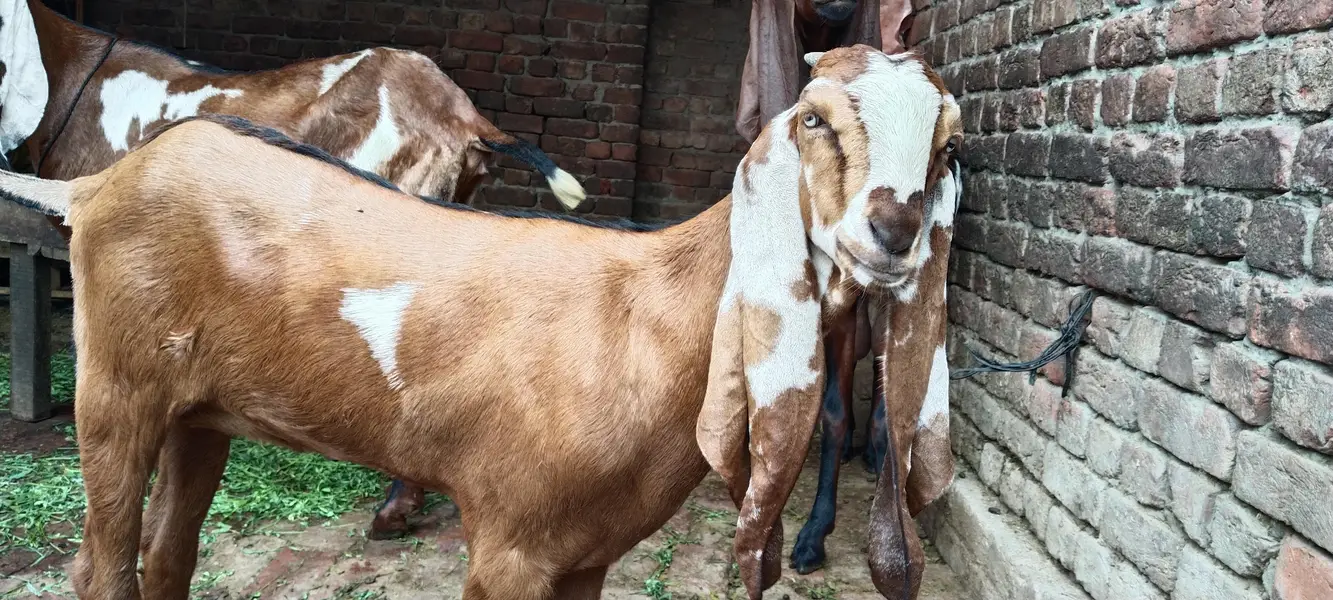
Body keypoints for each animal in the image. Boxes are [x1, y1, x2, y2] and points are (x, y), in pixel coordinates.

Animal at [0, 45, 961, 599]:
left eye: (948, 145)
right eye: (815, 121)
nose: (893, 230)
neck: (642, 314)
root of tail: (95, 188)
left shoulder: (585, 556)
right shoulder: (510, 539)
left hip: (201, 412)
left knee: (168, 556)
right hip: (115, 391)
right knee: (101, 565)